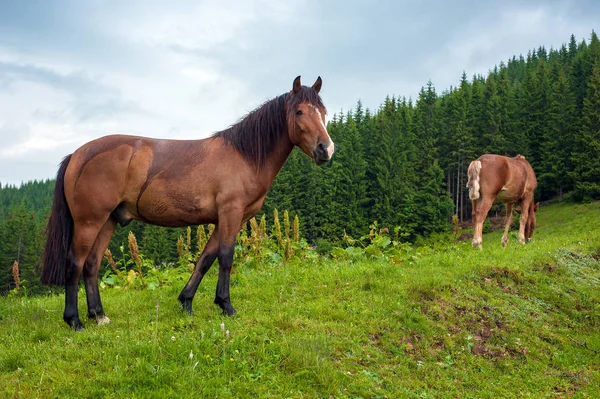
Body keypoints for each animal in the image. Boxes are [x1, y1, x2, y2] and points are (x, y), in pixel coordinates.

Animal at [40, 76, 336, 332]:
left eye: (323, 111)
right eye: (299, 111)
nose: (326, 149)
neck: (244, 156)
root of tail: (77, 155)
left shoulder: (225, 219)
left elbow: (205, 259)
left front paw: (187, 302)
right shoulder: (230, 213)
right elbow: (226, 258)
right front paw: (227, 306)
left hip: (108, 221)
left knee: (91, 265)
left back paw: (99, 316)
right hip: (89, 222)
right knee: (75, 263)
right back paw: (74, 320)